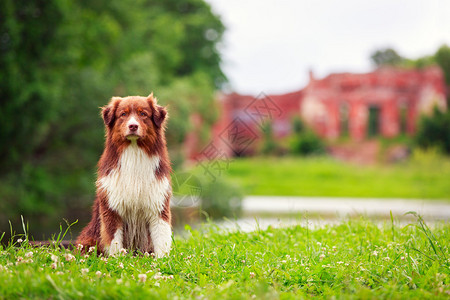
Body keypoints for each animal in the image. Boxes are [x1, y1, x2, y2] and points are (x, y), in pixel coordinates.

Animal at [76, 94, 171, 258]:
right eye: (123, 114)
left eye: (143, 114)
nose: (133, 126)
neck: (134, 152)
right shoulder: (112, 208)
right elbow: (113, 240)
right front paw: (116, 259)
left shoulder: (158, 205)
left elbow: (162, 238)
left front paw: (163, 260)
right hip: (87, 240)